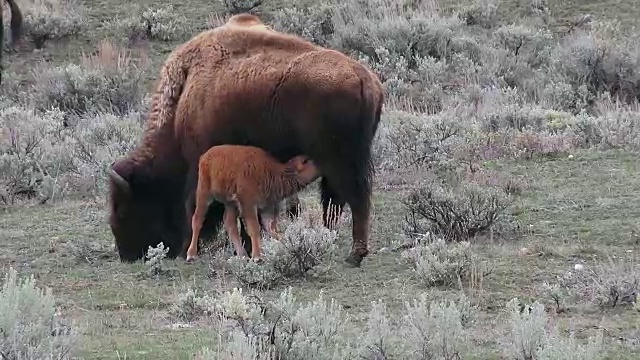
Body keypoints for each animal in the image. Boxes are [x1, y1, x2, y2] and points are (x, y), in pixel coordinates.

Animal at [188, 144, 322, 262]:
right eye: (307, 161)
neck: (273, 171)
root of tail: (205, 156)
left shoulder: (267, 207)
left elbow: (270, 228)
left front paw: (285, 241)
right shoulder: (248, 205)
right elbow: (255, 228)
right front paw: (257, 257)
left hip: (230, 203)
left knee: (229, 222)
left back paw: (242, 255)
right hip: (204, 194)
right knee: (197, 219)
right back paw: (191, 255)